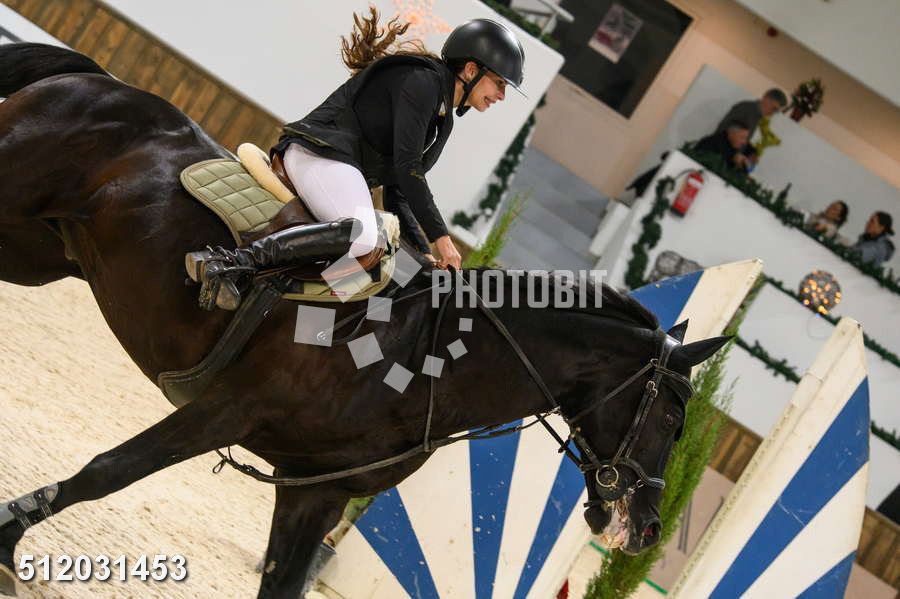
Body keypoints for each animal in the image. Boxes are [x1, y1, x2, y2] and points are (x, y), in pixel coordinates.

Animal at [0, 43, 728, 598]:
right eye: (671, 417)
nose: (647, 529)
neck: (425, 361)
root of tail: (95, 76)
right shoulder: (224, 411)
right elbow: (106, 473)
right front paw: (8, 541)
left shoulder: (315, 491)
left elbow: (283, 581)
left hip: (36, 252)